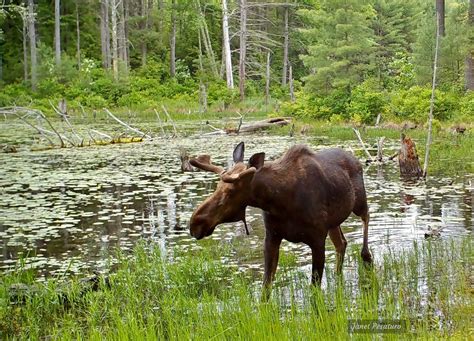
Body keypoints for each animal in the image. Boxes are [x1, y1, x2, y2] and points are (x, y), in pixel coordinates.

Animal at [191, 142, 372, 296]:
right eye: (217, 187)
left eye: (230, 192)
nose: (195, 223)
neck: (278, 201)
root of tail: (356, 159)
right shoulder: (272, 236)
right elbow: (266, 288)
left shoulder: (317, 239)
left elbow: (314, 290)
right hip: (333, 222)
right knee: (341, 243)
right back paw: (338, 276)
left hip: (359, 202)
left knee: (366, 216)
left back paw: (367, 256)